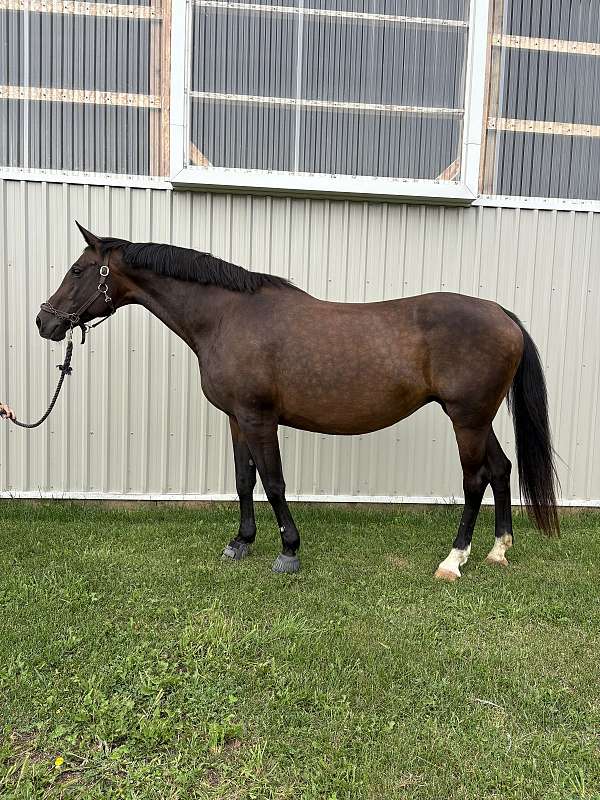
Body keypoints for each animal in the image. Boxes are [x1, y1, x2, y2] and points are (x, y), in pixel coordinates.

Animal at [36, 222, 558, 579]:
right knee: (501, 469)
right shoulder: (237, 419)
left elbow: (273, 483)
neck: (226, 317)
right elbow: (243, 481)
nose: (46, 322)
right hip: (478, 418)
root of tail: (502, 315)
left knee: (475, 480)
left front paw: (288, 550)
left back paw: (454, 560)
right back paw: (498, 550)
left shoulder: (259, 419)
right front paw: (241, 543)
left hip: (466, 419)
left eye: (77, 270)